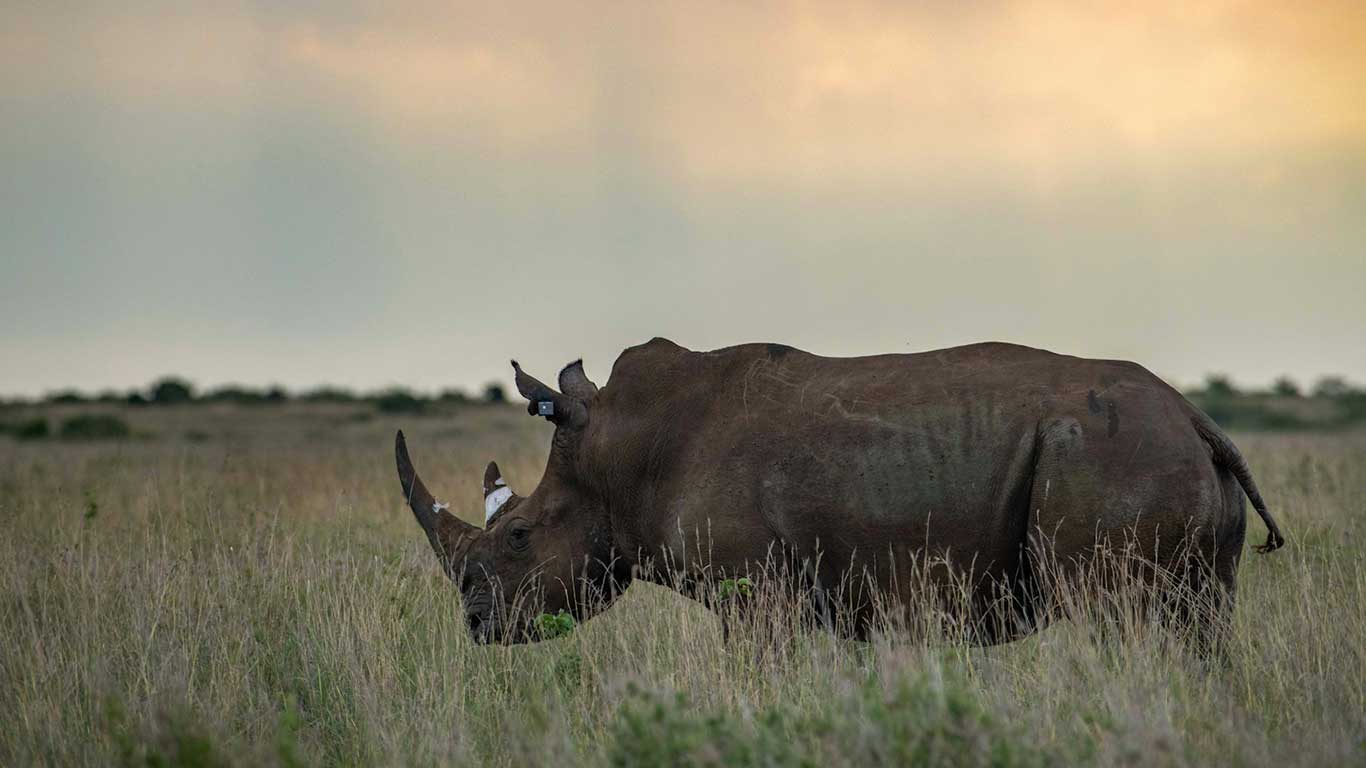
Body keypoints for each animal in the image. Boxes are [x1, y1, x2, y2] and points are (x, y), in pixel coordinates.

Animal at [395, 338, 1284, 645]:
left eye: (520, 537)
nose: (476, 626)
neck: (619, 451)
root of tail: (1197, 417)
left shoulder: (755, 593)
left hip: (1112, 454)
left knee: (1118, 619)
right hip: (1156, 457)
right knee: (1198, 627)